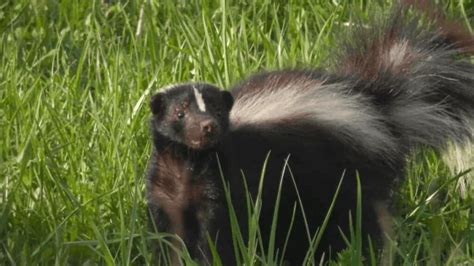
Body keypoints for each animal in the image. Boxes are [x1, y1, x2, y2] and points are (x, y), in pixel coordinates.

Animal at [146, 1, 472, 264]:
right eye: (179, 113)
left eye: (216, 111)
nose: (207, 127)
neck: (188, 164)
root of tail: (376, 104)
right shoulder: (165, 195)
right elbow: (168, 234)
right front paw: (171, 259)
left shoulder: (221, 185)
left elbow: (218, 232)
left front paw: (208, 259)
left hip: (348, 174)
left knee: (356, 221)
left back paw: (358, 254)